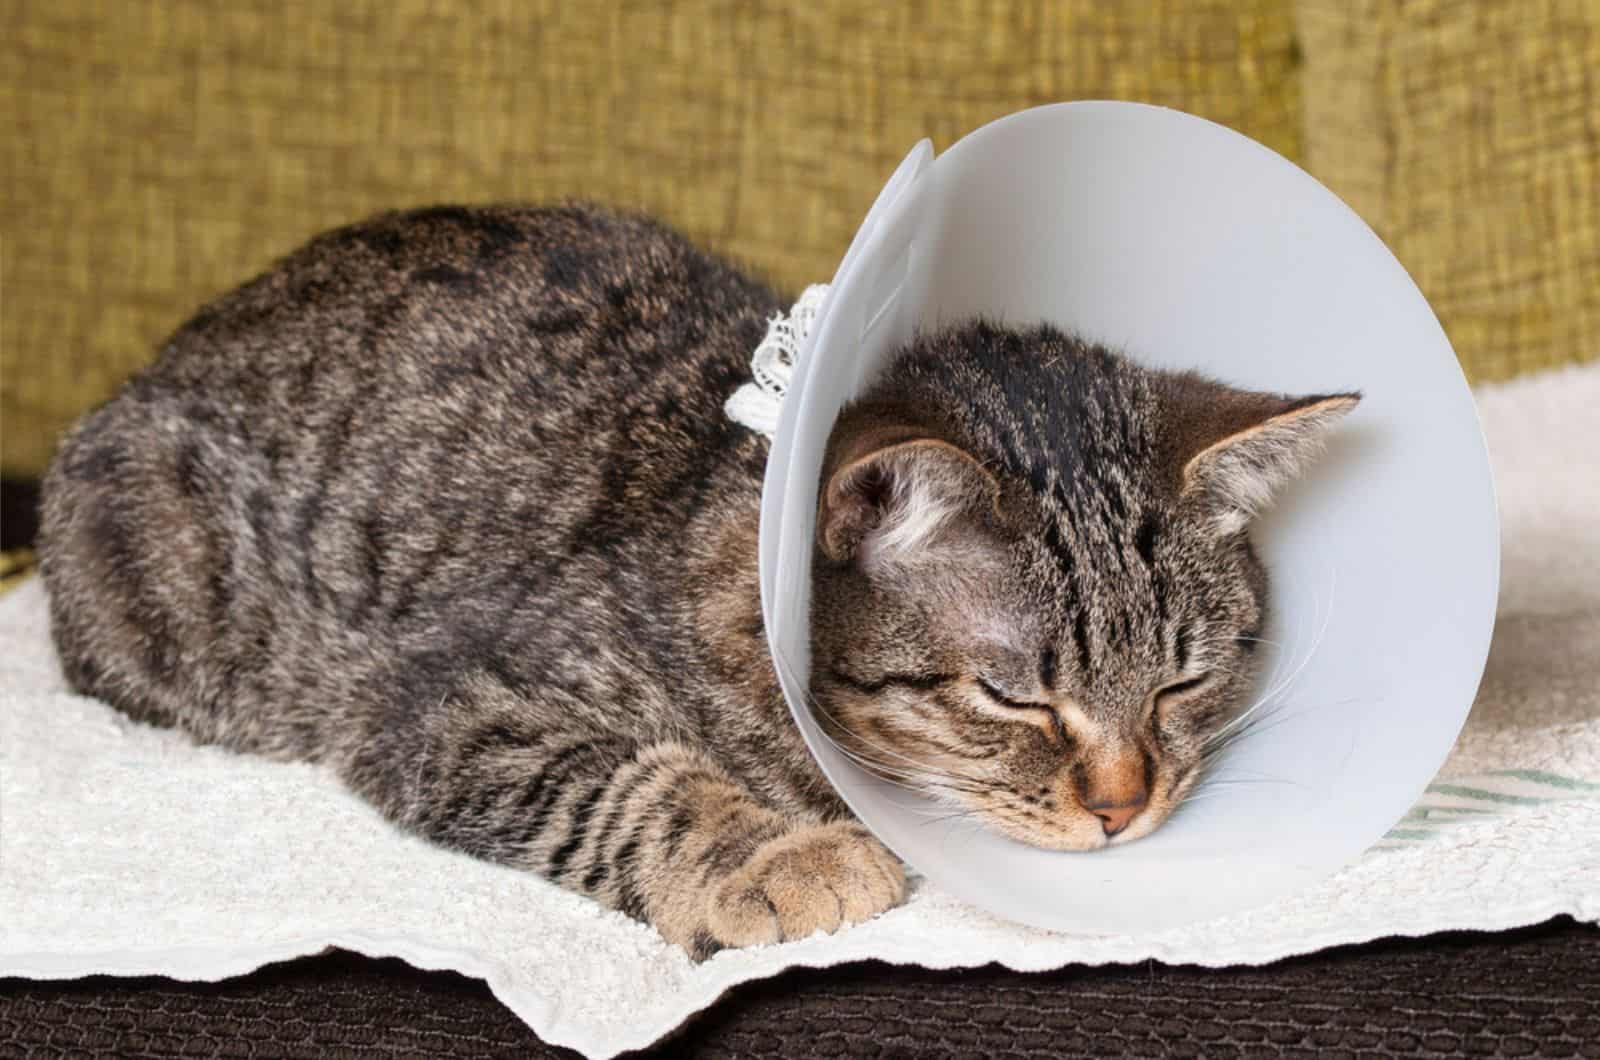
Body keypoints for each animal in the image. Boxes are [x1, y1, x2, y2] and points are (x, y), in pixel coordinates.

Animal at [37, 203, 1356, 960]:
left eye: (1181, 681)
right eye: (1013, 698)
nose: (1123, 806)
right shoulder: (445, 697)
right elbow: (629, 778)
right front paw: (771, 856)